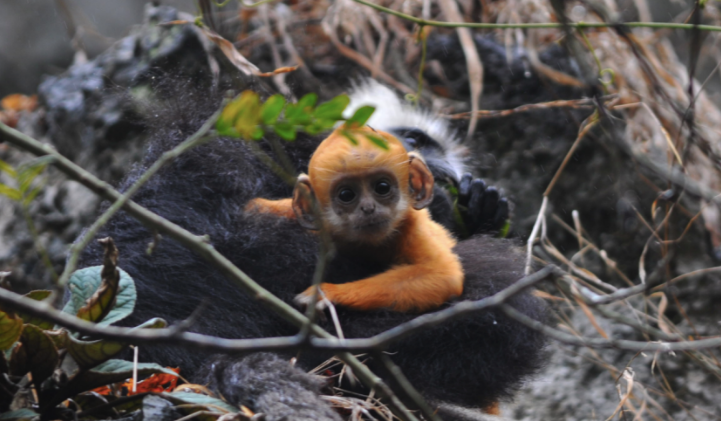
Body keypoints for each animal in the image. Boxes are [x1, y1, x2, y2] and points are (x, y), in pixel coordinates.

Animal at [246, 126, 462, 310]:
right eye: (346, 195)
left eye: (382, 187)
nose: (368, 208)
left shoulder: (411, 226)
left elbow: (442, 274)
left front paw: (328, 293)